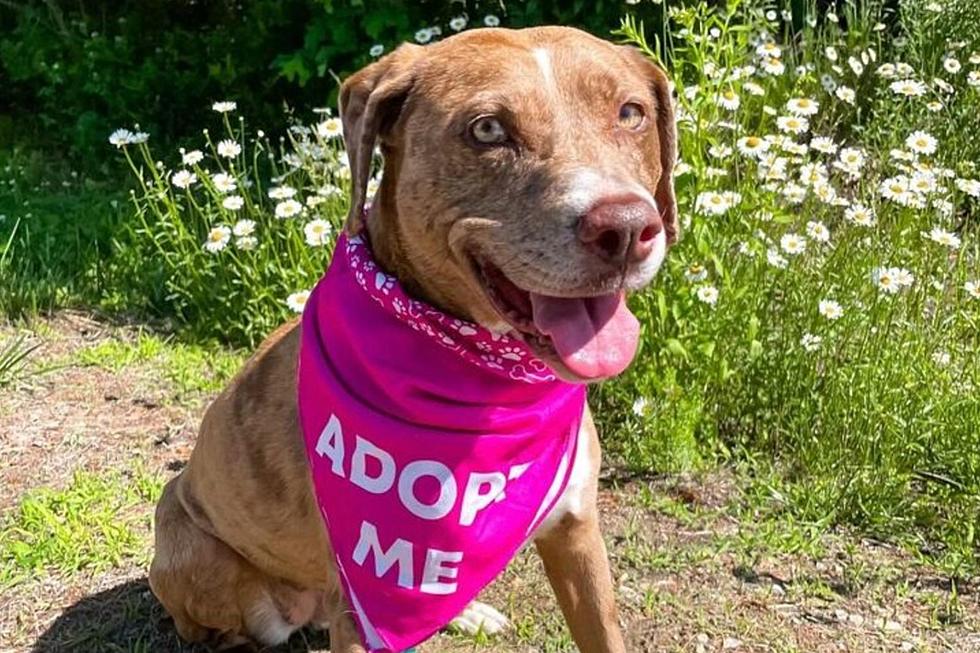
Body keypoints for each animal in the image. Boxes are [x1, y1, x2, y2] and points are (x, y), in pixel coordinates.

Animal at [149, 25, 676, 652]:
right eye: (487, 129)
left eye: (630, 113)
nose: (625, 228)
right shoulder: (358, 610)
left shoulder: (577, 534)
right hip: (192, 548)